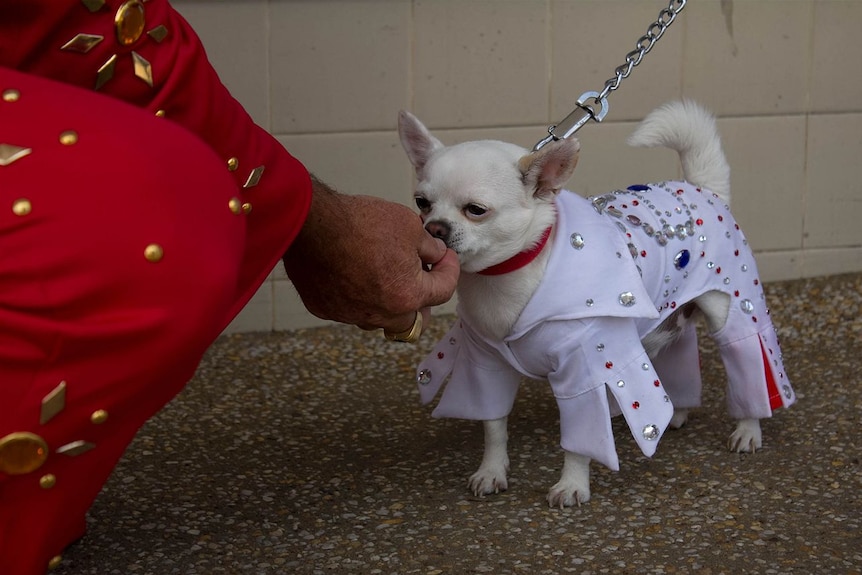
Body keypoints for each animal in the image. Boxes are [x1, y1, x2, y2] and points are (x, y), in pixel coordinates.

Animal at [398, 100, 796, 508]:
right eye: (421, 203)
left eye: (476, 210)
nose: (434, 228)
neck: (504, 278)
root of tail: (701, 187)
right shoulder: (485, 366)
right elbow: (494, 428)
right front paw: (491, 472)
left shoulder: (583, 376)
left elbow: (580, 441)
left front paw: (572, 485)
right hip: (666, 315)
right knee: (679, 343)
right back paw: (679, 411)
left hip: (733, 308)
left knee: (746, 355)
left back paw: (748, 428)